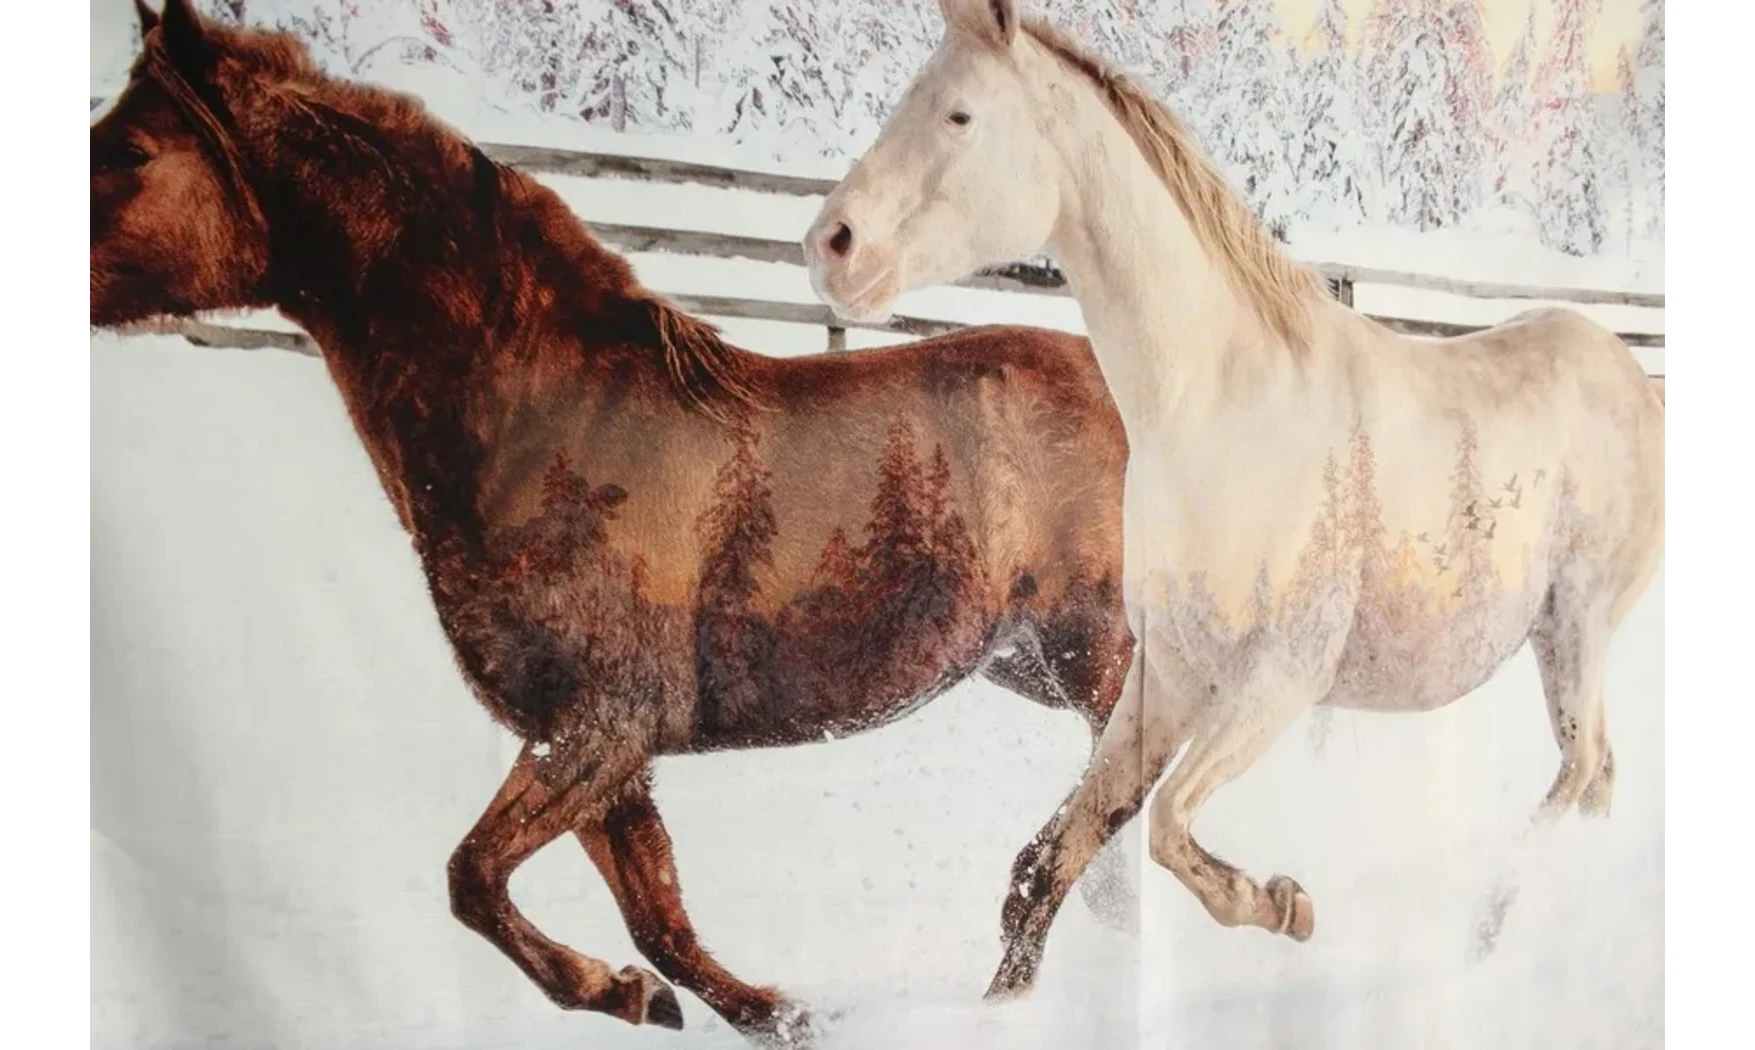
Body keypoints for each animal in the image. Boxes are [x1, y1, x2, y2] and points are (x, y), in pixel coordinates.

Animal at [92, 2, 1138, 1044]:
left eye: (135, 148)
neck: (546, 424)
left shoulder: (599, 727)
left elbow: (473, 878)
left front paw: (623, 992)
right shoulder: (594, 750)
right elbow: (657, 919)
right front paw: (751, 1008)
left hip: (1096, 653)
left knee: (1089, 825)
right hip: (1023, 662)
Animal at [804, 0, 1664, 999]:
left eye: (958, 115)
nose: (829, 246)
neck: (1218, 408)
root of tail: (1631, 378)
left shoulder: (1280, 679)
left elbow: (1166, 827)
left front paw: (1287, 905)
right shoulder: (1168, 673)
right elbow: (1062, 853)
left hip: (1577, 623)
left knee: (1581, 765)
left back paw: (1485, 930)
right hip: (1552, 639)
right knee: (1597, 778)